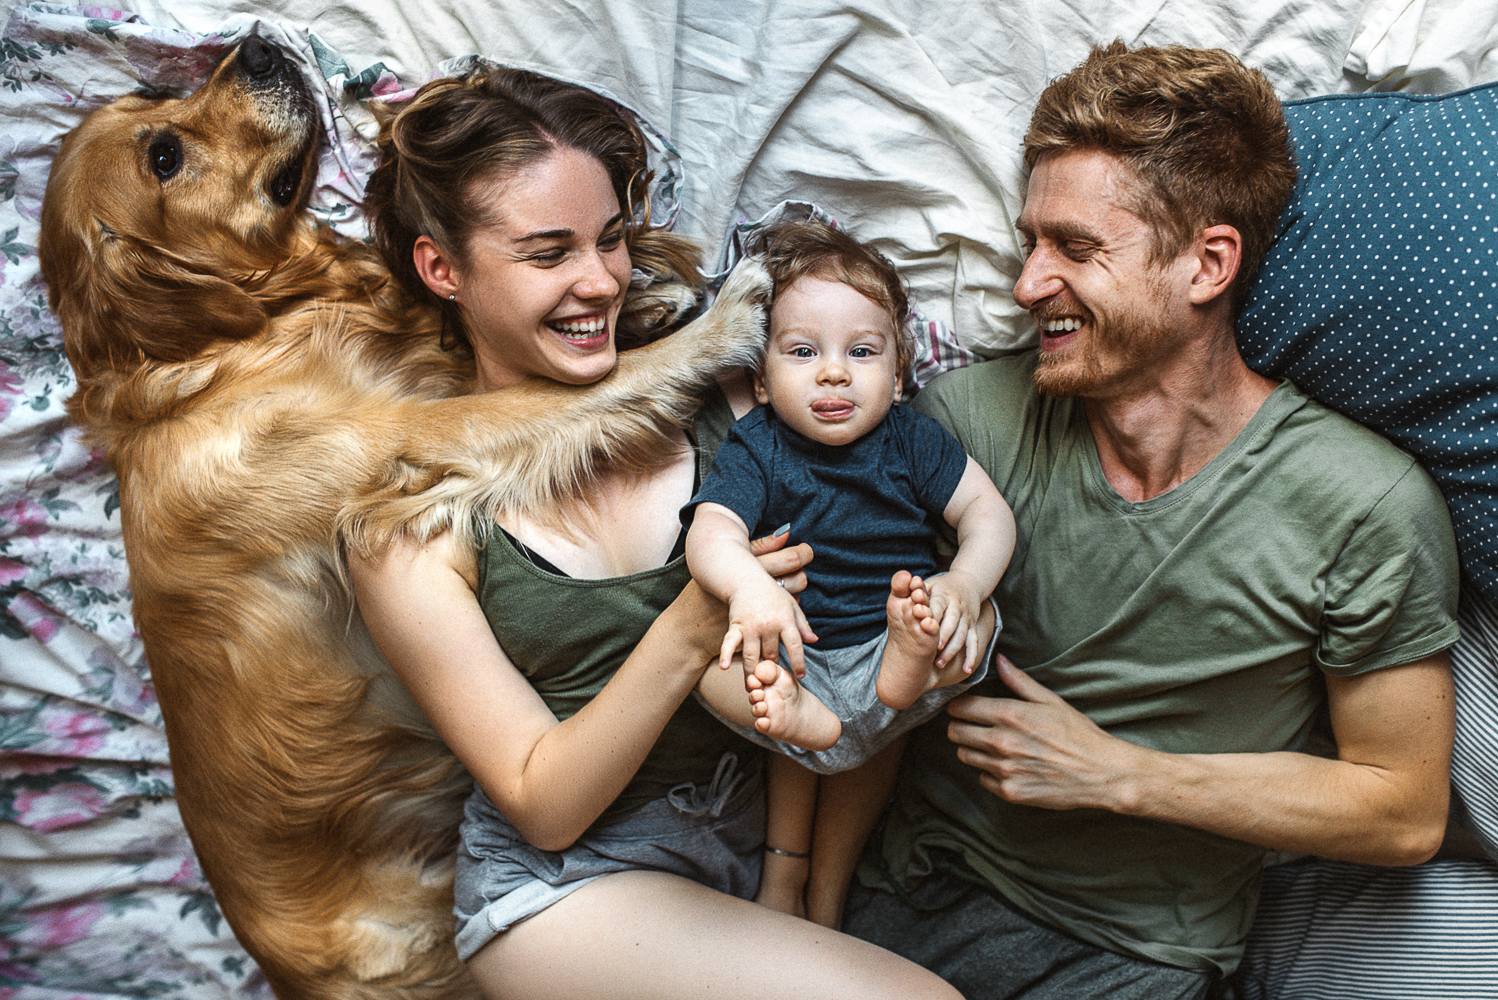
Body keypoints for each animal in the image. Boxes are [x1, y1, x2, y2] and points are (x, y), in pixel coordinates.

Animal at [41, 35, 766, 999]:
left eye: (155, 90)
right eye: (164, 156)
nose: (259, 46)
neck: (219, 350)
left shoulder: (427, 386)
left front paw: (651, 298)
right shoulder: (420, 436)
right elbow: (580, 393)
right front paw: (719, 324)